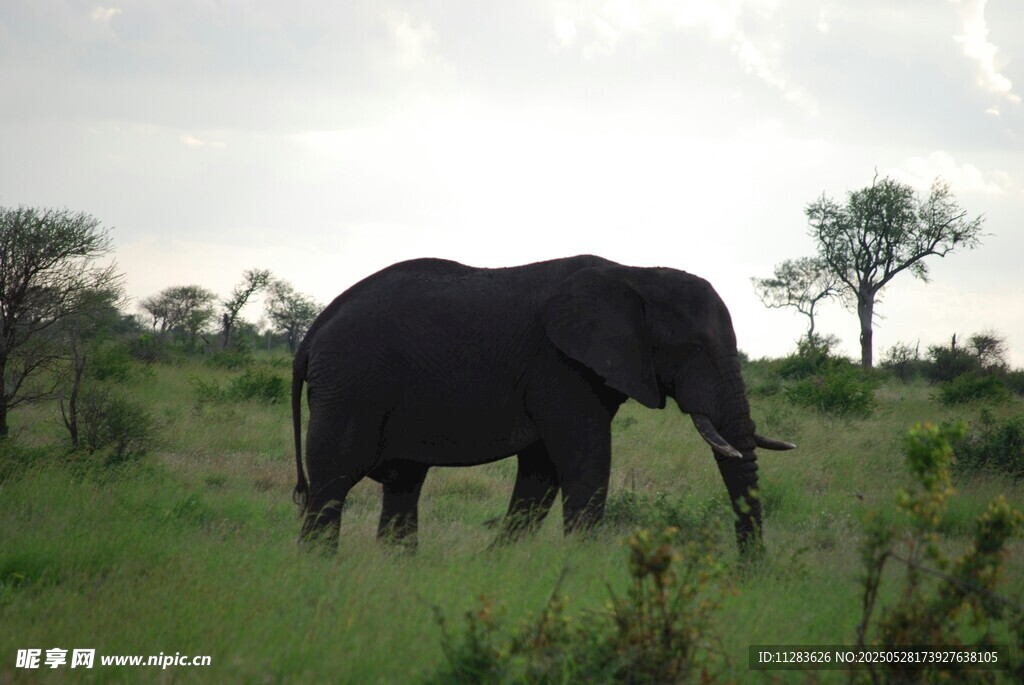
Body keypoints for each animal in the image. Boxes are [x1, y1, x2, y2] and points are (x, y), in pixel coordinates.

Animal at [291, 255, 794, 553]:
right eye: (693, 347)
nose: (749, 575)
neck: (633, 273)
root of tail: (314, 331)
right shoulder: (558, 366)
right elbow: (585, 461)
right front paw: (582, 571)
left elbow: (542, 472)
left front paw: (502, 565)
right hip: (350, 388)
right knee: (332, 483)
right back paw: (321, 570)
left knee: (402, 484)